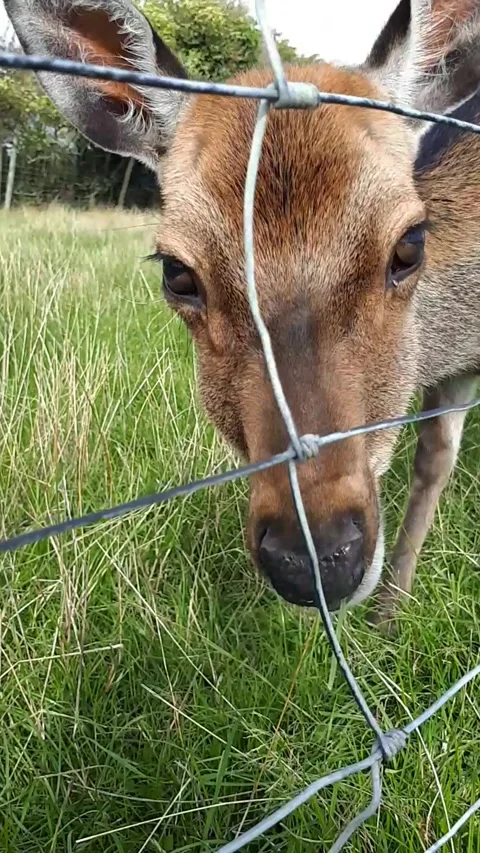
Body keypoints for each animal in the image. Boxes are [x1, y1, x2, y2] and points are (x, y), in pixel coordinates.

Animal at [5, 0, 480, 630]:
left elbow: (434, 461)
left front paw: (388, 614)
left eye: (410, 245)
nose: (317, 560)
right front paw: (387, 616)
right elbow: (434, 458)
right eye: (177, 273)